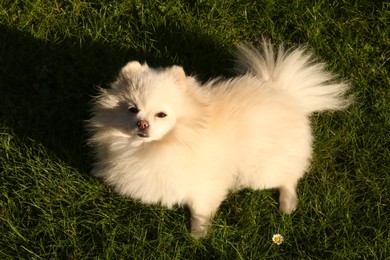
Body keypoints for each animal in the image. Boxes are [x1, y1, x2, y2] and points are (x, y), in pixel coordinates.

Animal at [87, 41, 350, 238]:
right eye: (132, 110)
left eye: (161, 114)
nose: (142, 124)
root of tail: (287, 94)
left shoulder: (204, 185)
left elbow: (200, 212)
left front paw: (197, 236)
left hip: (261, 171)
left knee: (289, 177)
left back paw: (287, 203)